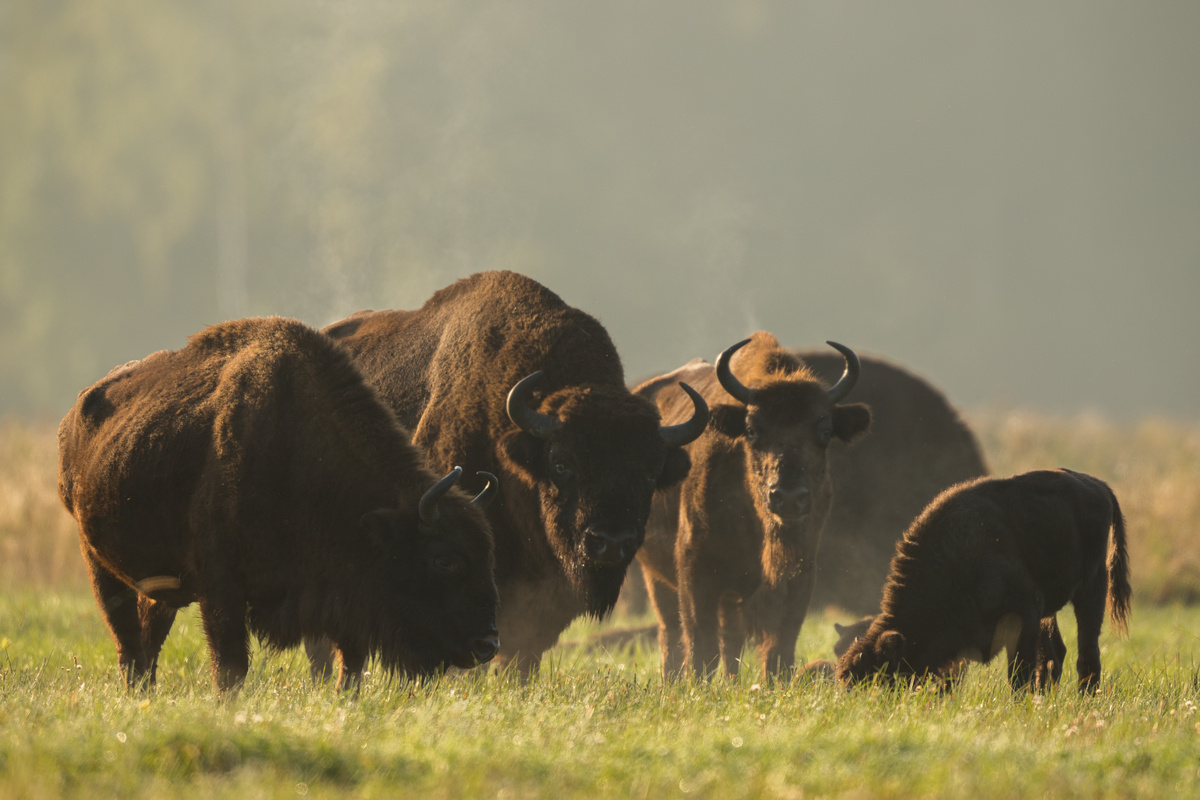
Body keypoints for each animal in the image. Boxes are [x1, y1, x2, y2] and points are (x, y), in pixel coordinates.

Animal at [58, 319, 499, 695]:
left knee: (148, 644)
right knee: (128, 645)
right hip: (99, 564)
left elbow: (351, 666)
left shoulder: (345, 598)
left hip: (158, 585)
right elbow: (231, 667)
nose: (488, 644)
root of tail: (74, 416)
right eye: (443, 559)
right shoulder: (221, 587)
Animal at [638, 333, 873, 681]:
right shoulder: (696, 571)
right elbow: (702, 644)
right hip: (655, 574)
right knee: (671, 632)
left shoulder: (797, 574)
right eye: (751, 430)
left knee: (730, 640)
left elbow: (778, 646)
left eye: (825, 431)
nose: (788, 496)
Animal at [840, 470, 1128, 695]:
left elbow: (1019, 674)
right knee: (1055, 655)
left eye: (881, 679)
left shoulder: (1025, 612)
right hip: (1053, 610)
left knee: (1087, 652)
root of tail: (1100, 487)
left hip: (1091, 590)